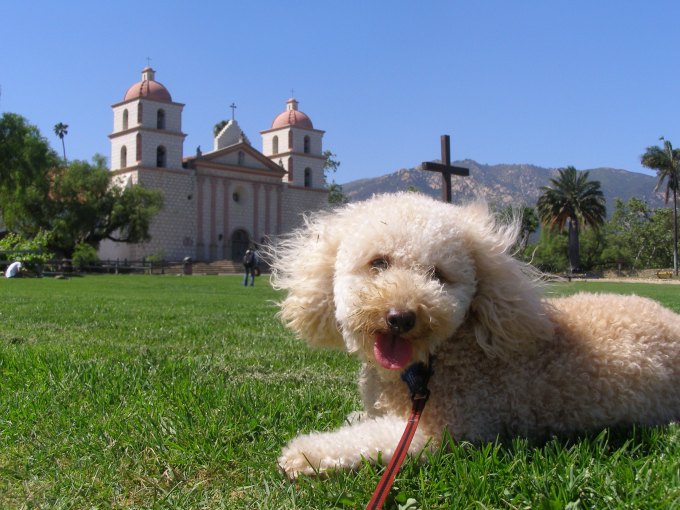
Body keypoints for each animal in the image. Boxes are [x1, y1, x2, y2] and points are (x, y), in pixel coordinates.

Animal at [270, 191, 680, 478]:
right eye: (378, 263)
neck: (430, 364)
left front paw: (306, 453)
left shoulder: (444, 429)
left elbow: (369, 440)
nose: (401, 317)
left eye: (438, 275)